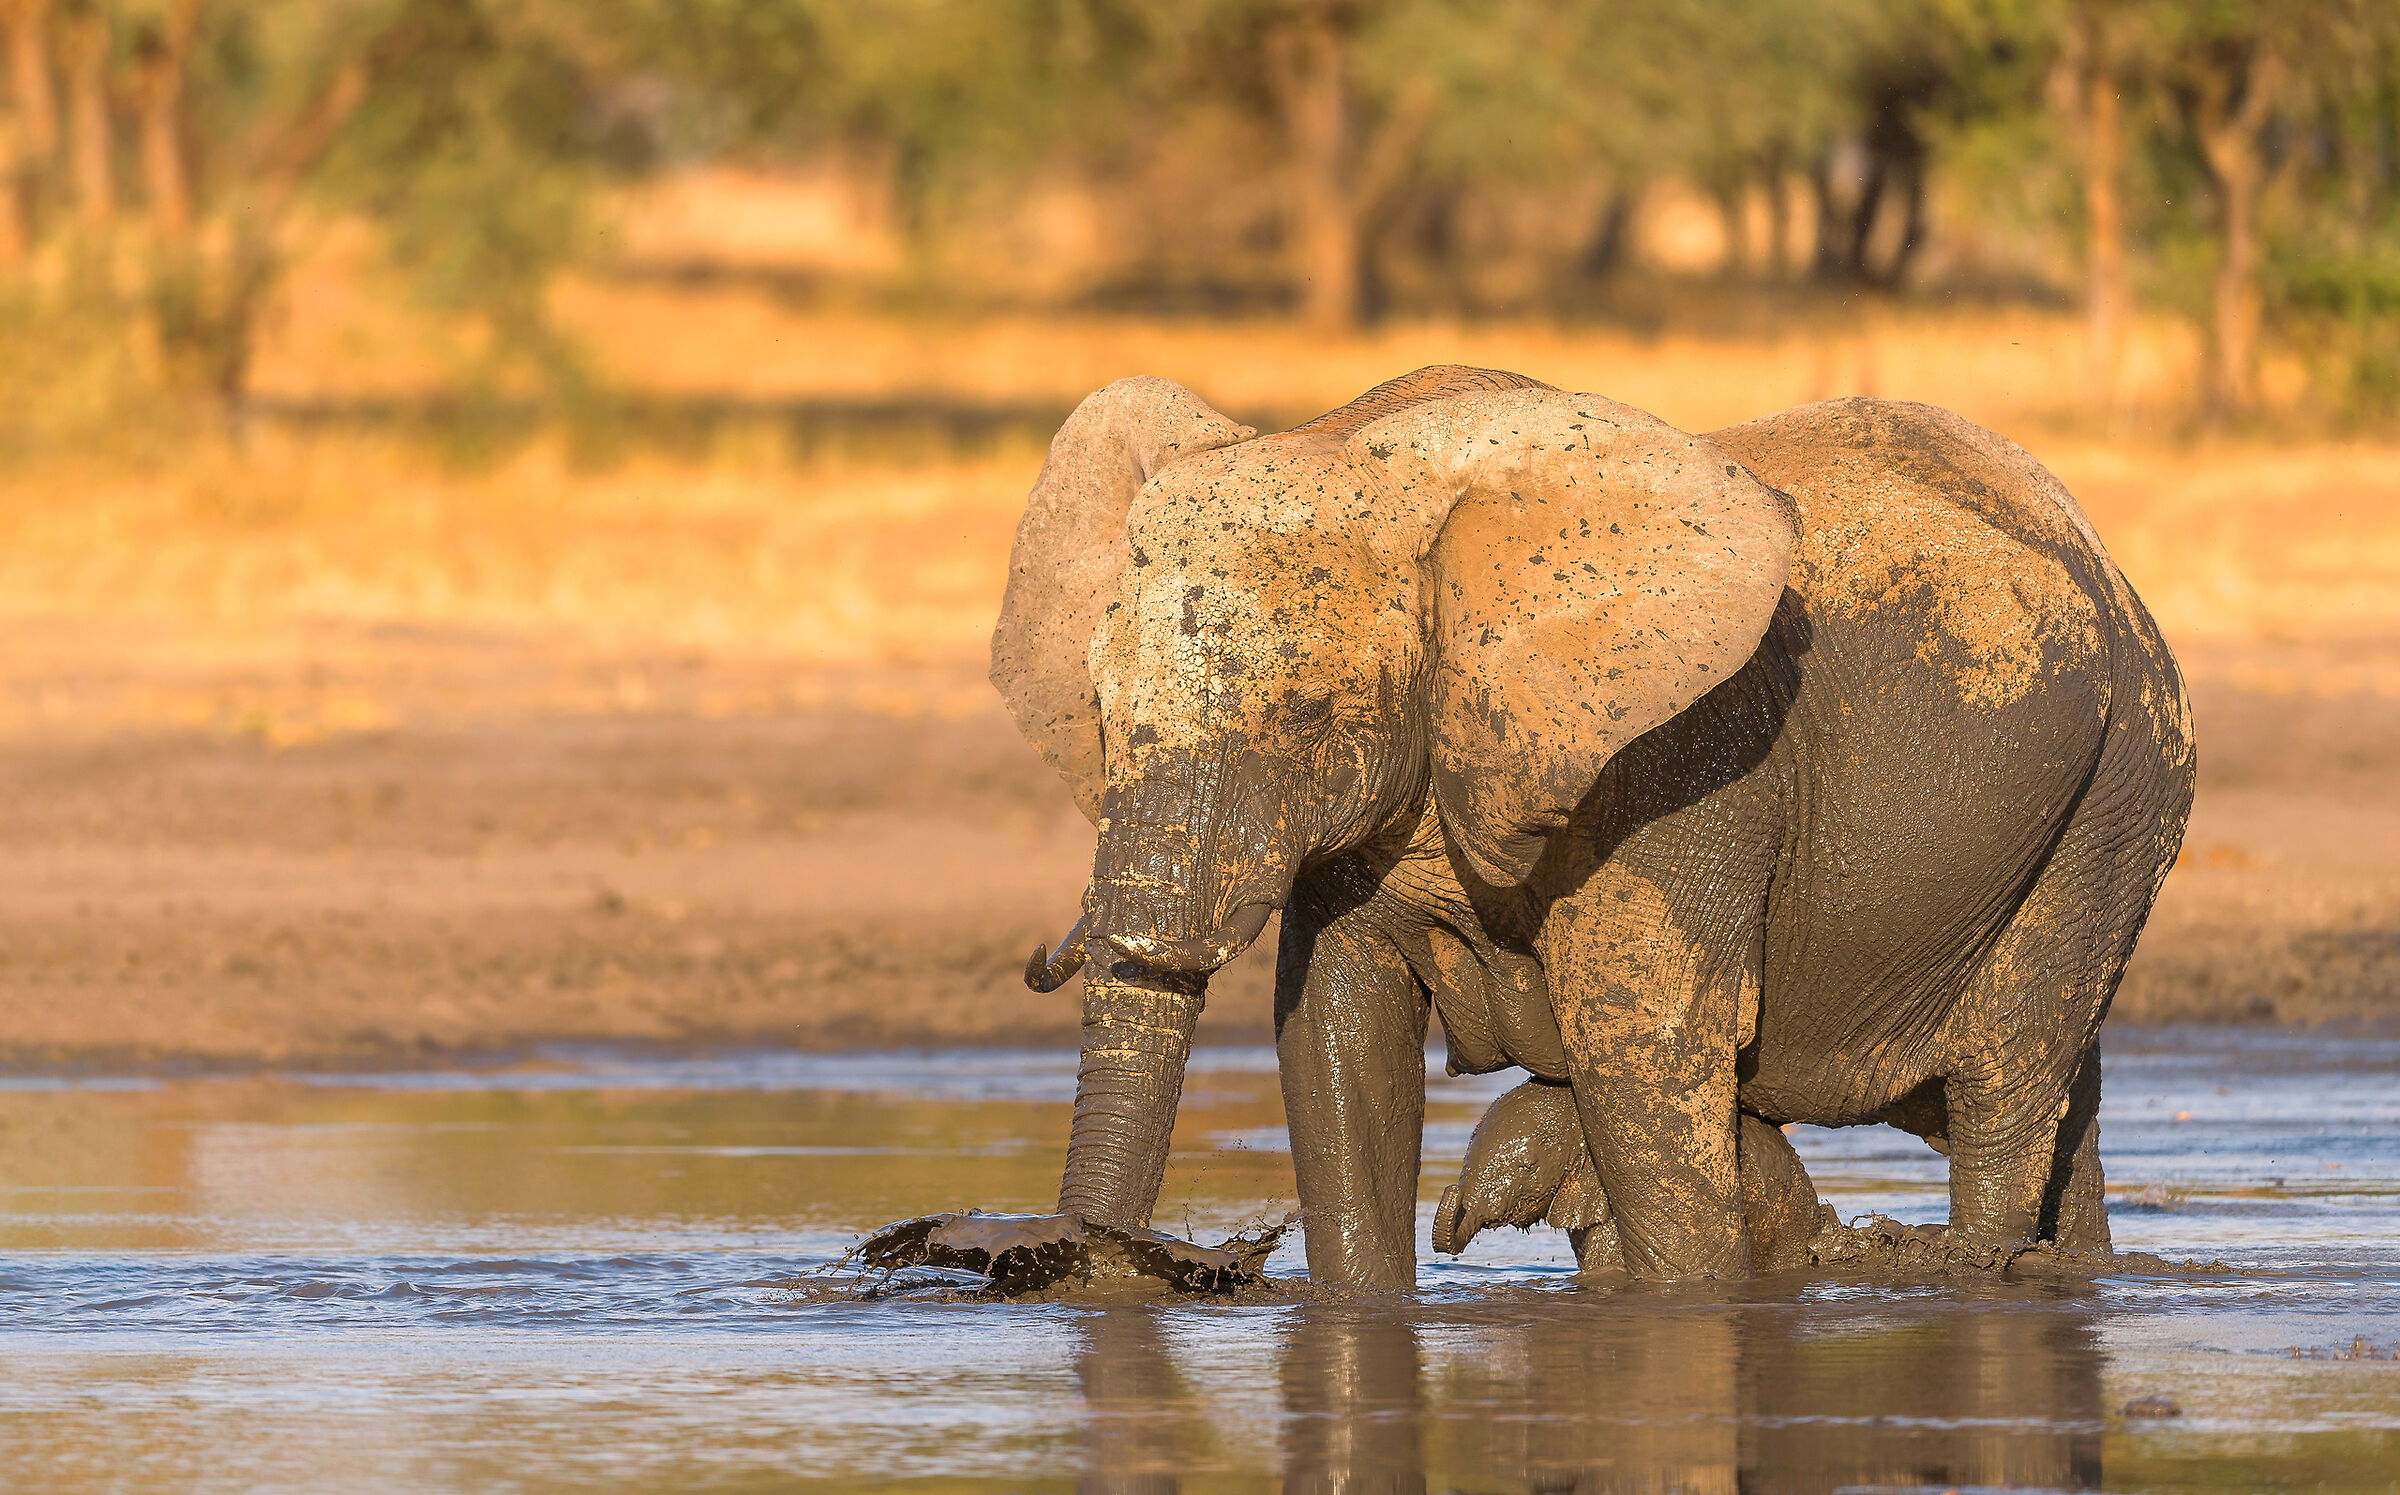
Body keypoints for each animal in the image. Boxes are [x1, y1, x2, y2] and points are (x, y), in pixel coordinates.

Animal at [992, 364, 2194, 1284]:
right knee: (2053, 1102)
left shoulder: (1677, 769)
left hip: (2123, 787)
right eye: (1099, 710)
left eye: (1308, 715)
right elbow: (1339, 1046)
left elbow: (1641, 1049)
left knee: (2001, 1086)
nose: (1104, 1259)